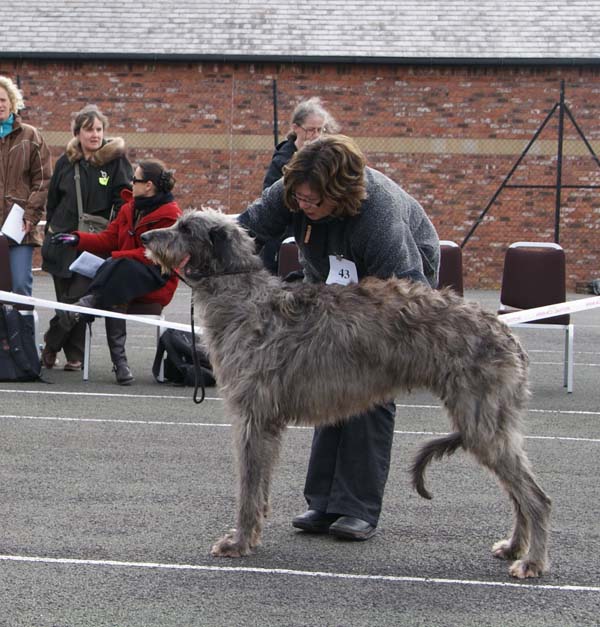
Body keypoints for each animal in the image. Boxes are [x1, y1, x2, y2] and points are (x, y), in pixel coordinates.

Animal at [143, 210, 552, 580]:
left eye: (186, 228)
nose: (145, 236)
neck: (244, 299)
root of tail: (508, 336)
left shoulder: (253, 417)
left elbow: (248, 486)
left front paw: (238, 541)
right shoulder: (267, 424)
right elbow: (259, 487)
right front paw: (250, 534)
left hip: (481, 419)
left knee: (536, 497)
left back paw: (531, 561)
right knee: (519, 493)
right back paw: (514, 546)